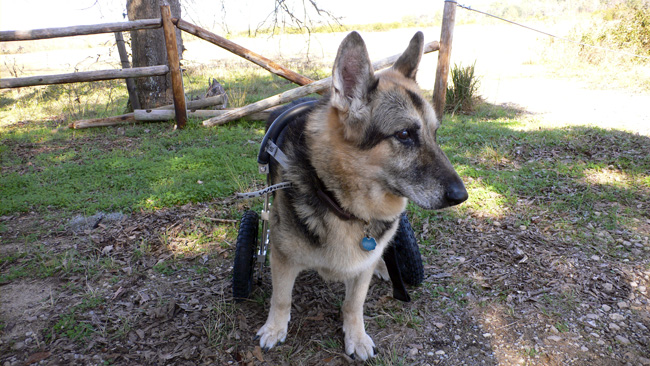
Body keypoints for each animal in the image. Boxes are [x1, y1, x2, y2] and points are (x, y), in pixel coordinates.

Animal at [256, 31, 466, 360]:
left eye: (435, 134)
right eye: (404, 135)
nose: (462, 195)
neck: (340, 203)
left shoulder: (361, 270)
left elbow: (353, 304)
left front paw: (356, 336)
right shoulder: (283, 259)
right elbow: (281, 298)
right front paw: (275, 328)